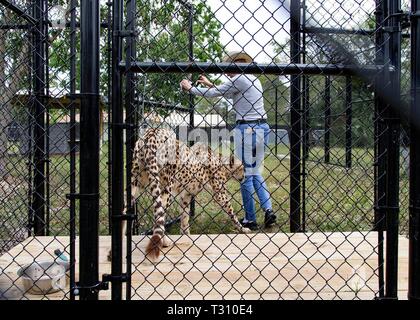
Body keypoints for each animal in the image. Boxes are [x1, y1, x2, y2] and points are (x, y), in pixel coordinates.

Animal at [130, 126, 251, 262]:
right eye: (242, 168)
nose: (245, 177)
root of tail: (152, 132)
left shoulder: (186, 195)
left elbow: (185, 217)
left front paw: (186, 235)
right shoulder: (220, 194)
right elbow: (231, 212)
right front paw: (243, 229)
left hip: (135, 182)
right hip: (166, 188)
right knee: (159, 214)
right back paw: (164, 241)